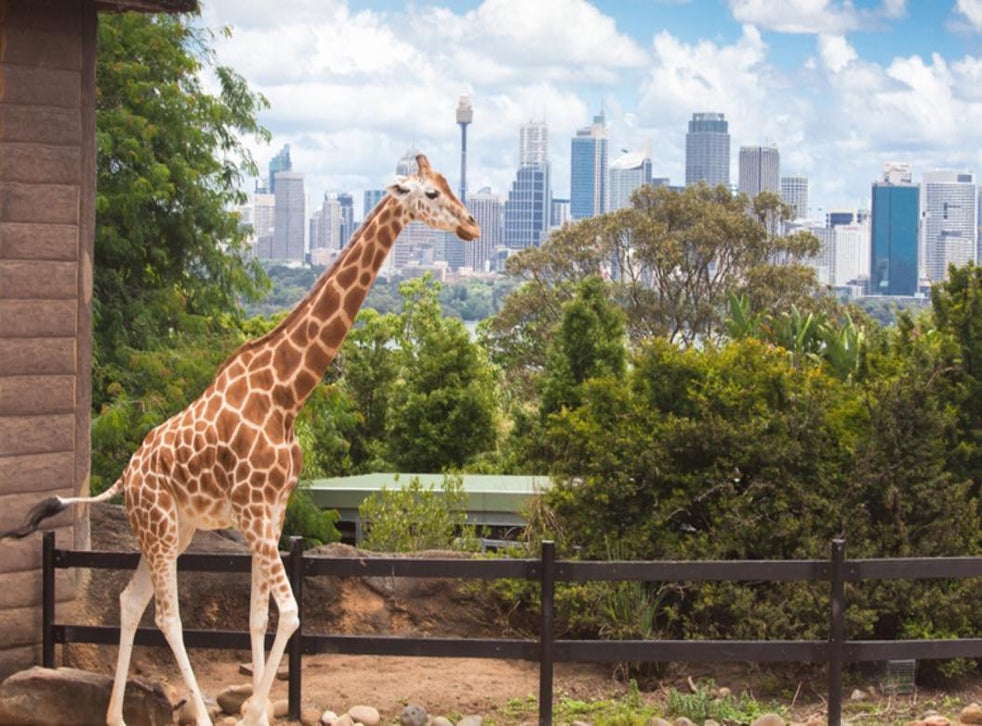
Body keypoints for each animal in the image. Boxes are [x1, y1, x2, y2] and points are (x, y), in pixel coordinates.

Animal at [2, 154, 480, 726]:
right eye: (430, 194)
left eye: (449, 184)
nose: (472, 226)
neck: (287, 394)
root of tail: (124, 476)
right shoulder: (252, 512)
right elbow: (291, 613)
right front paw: (251, 712)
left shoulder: (270, 513)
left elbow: (259, 617)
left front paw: (258, 710)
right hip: (161, 529)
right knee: (167, 616)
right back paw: (194, 713)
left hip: (173, 531)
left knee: (129, 601)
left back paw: (115, 716)